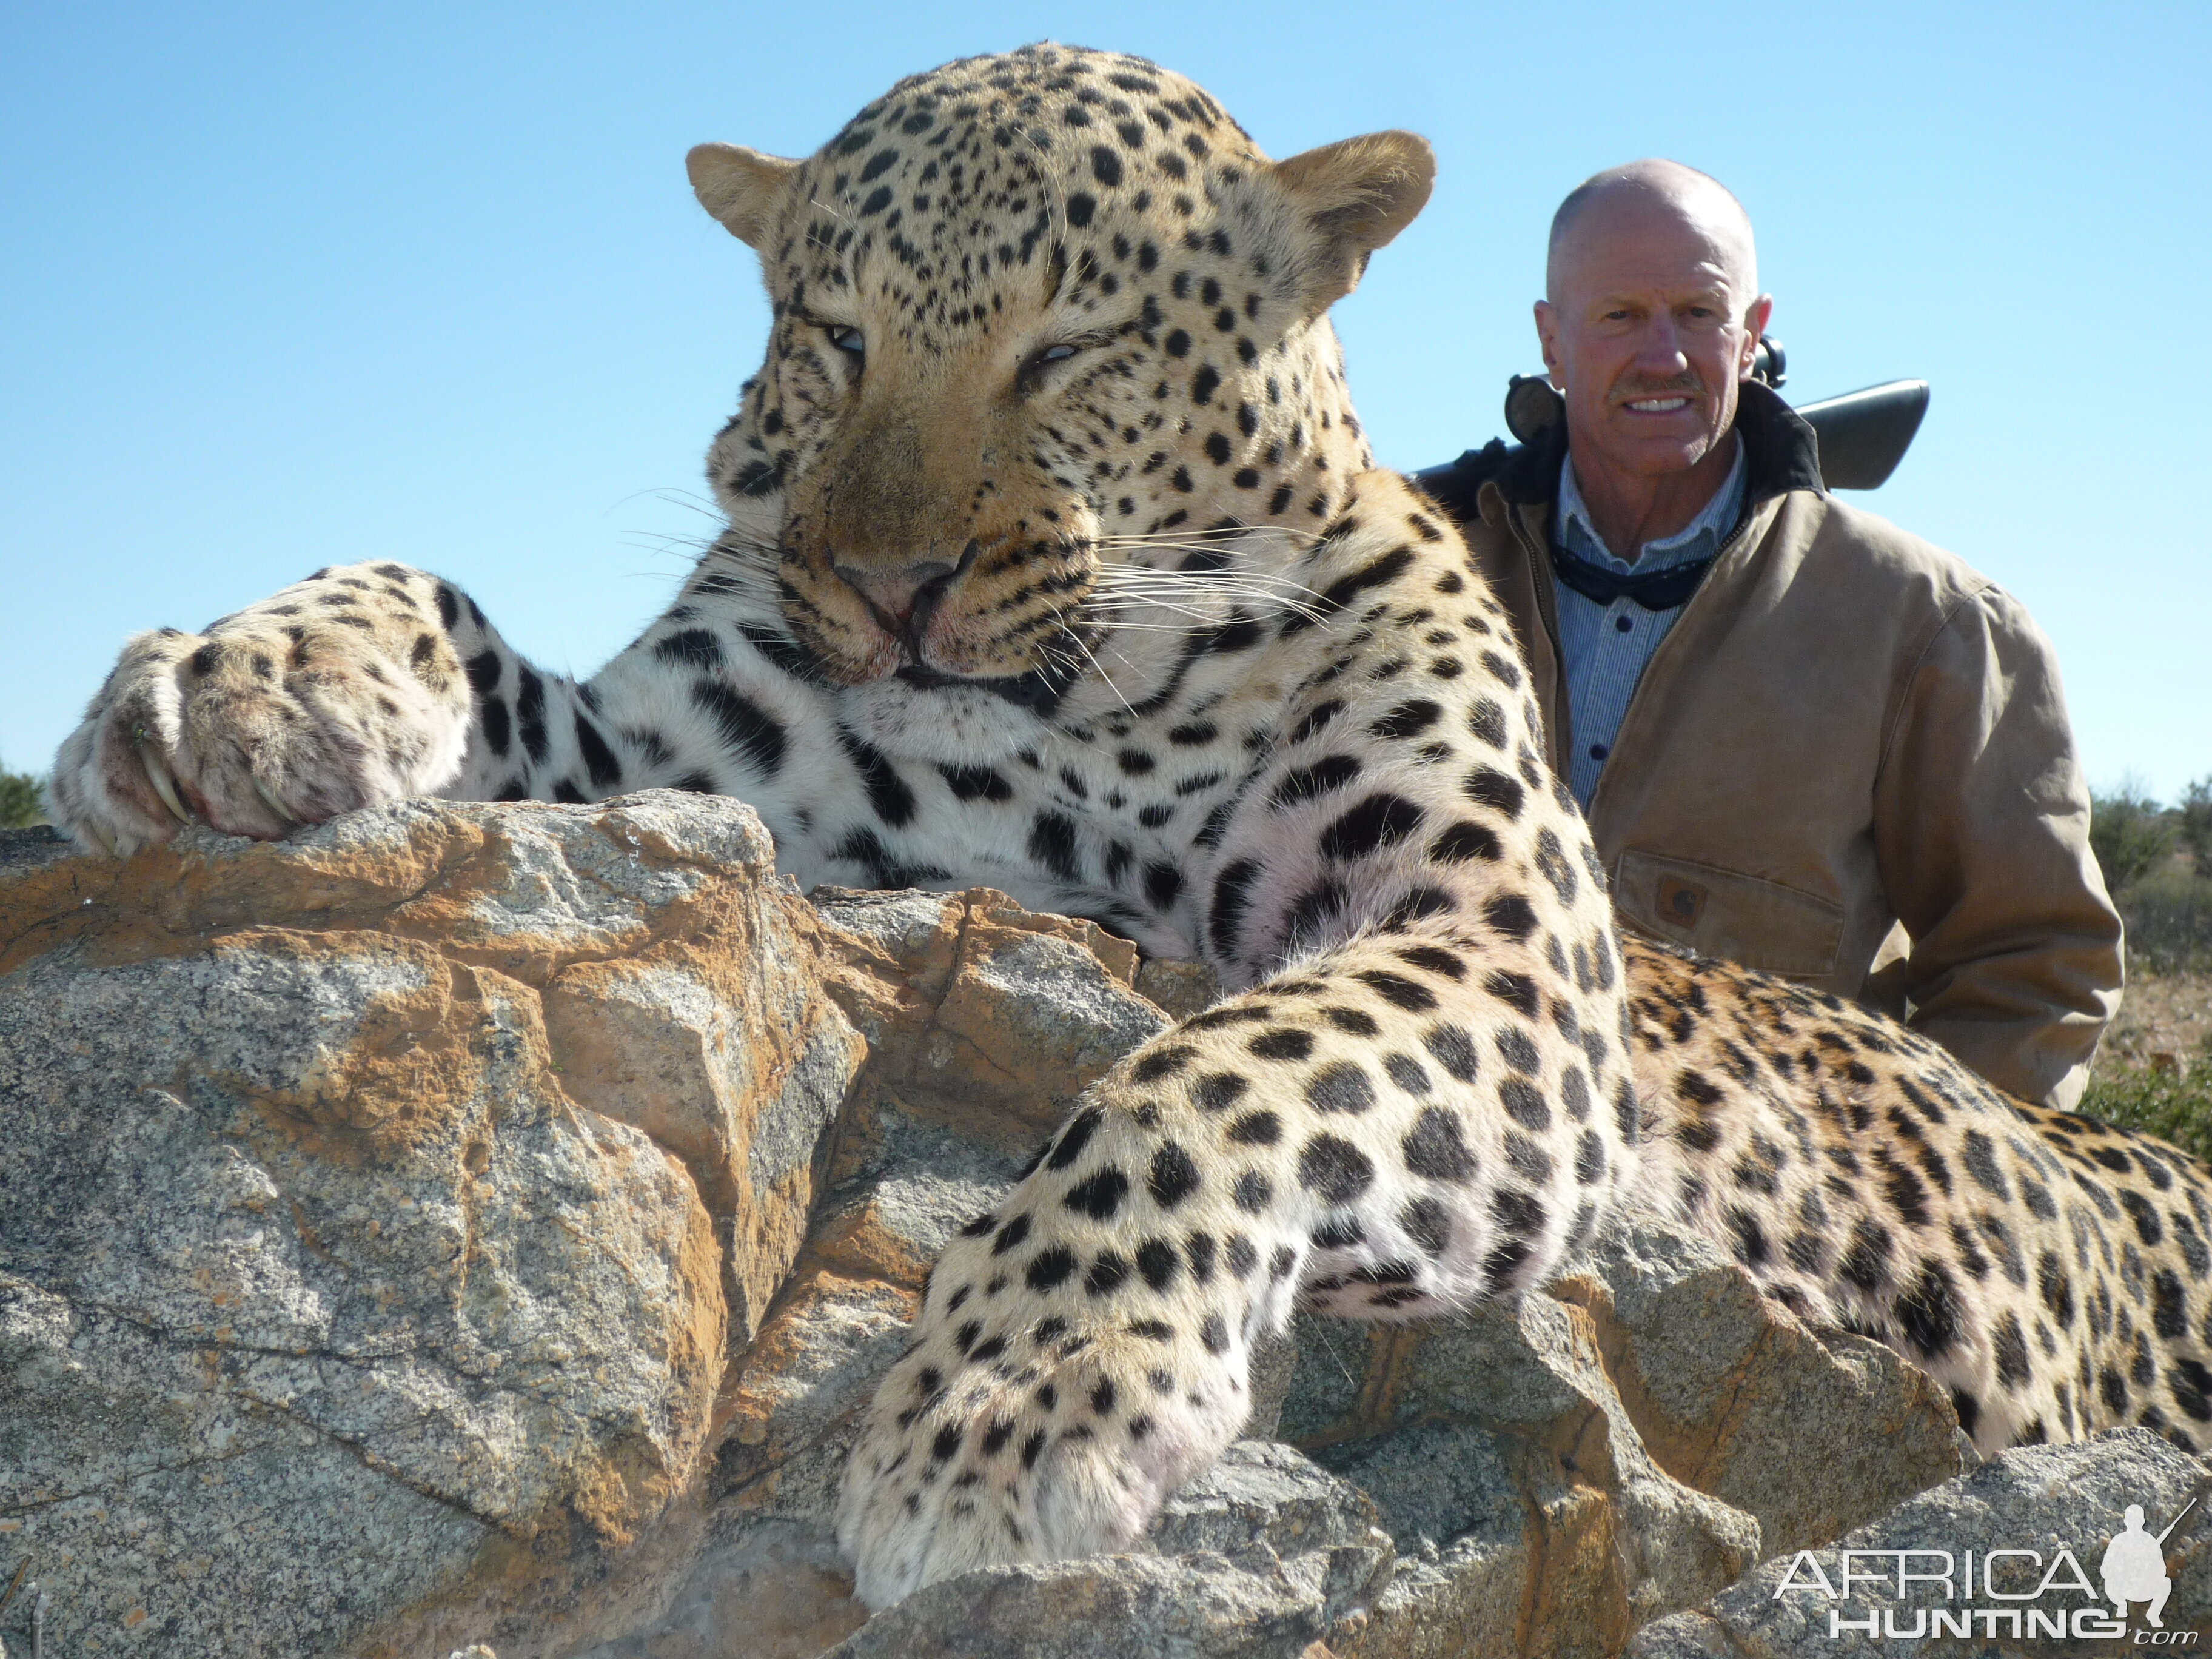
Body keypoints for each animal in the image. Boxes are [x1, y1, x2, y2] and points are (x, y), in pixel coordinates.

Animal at [43, 42, 2212, 1627]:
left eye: (1068, 349)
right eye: (832, 333)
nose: (889, 588)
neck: (1088, 715)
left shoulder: (1495, 944)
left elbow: (1215, 1072)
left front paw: (1013, 1408)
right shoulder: (684, 756)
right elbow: (436, 592)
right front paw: (232, 679)